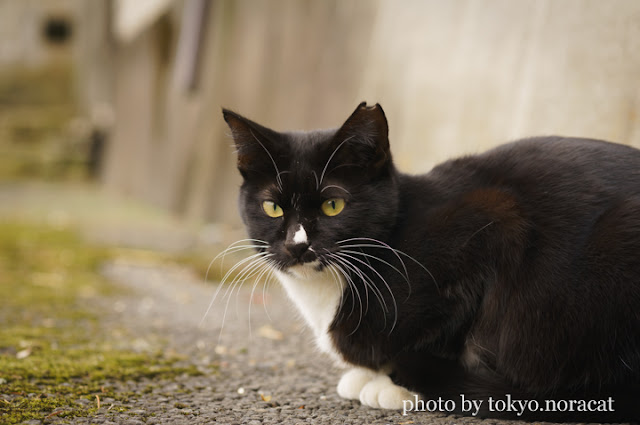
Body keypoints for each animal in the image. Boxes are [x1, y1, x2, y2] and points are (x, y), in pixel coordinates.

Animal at [221, 102, 640, 420]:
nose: (297, 246)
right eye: (273, 208)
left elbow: (445, 335)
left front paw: (395, 385)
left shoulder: (494, 219)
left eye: (333, 205)